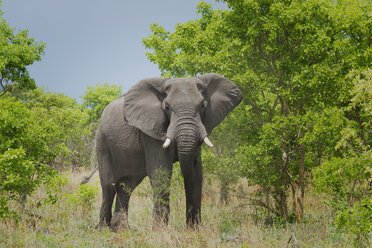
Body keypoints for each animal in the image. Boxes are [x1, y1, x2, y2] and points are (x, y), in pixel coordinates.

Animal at [94, 72, 243, 231]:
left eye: (203, 105)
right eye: (167, 107)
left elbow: (197, 174)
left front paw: (194, 231)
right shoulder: (152, 131)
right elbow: (161, 171)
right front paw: (159, 231)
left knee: (126, 186)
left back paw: (121, 229)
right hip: (102, 141)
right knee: (109, 185)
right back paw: (104, 230)